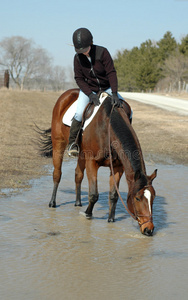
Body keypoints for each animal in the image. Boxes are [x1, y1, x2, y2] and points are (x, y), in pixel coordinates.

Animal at [38, 88, 157, 236]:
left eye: (153, 197)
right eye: (138, 198)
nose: (149, 229)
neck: (108, 128)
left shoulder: (118, 167)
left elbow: (113, 195)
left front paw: (111, 219)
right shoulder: (92, 163)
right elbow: (94, 194)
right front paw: (88, 214)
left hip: (82, 154)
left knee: (78, 175)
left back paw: (78, 202)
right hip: (58, 143)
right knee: (57, 173)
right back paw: (52, 202)